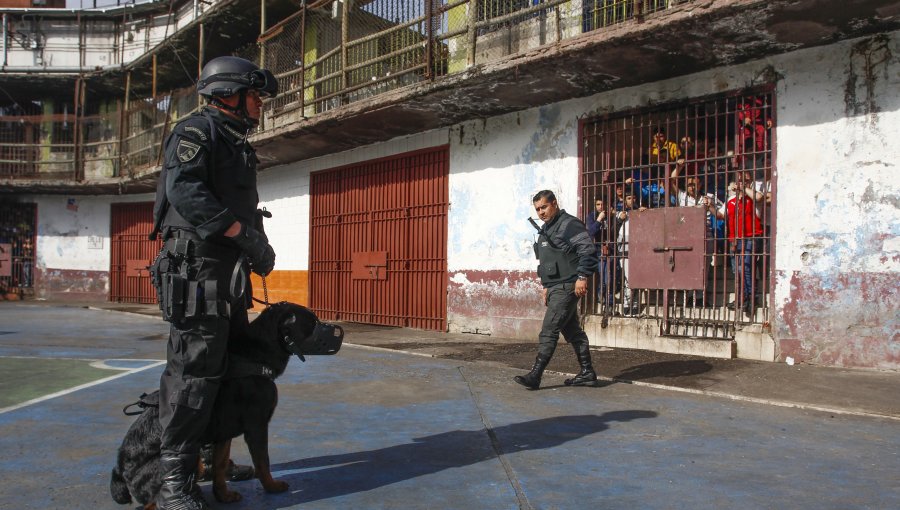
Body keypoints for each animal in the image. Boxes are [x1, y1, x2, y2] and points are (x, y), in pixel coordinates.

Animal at [110, 302, 342, 506]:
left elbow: (220, 466)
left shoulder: (223, 434)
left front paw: (223, 495)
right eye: (312, 322)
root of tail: (120, 471)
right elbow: (262, 461)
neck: (256, 356)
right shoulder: (257, 426)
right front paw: (271, 486)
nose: (338, 332)